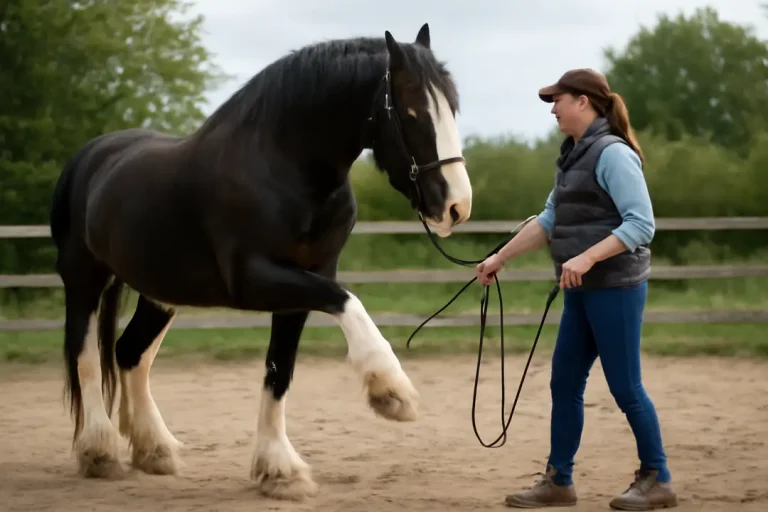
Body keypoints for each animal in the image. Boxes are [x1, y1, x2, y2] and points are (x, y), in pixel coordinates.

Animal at [48, 22, 472, 500]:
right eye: (413, 113)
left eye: (453, 107)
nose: (456, 206)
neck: (284, 169)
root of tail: (90, 156)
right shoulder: (255, 280)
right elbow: (348, 301)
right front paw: (389, 390)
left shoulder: (303, 283)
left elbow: (279, 369)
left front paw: (278, 470)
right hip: (84, 278)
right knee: (84, 354)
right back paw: (99, 451)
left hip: (160, 292)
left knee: (129, 353)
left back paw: (154, 449)